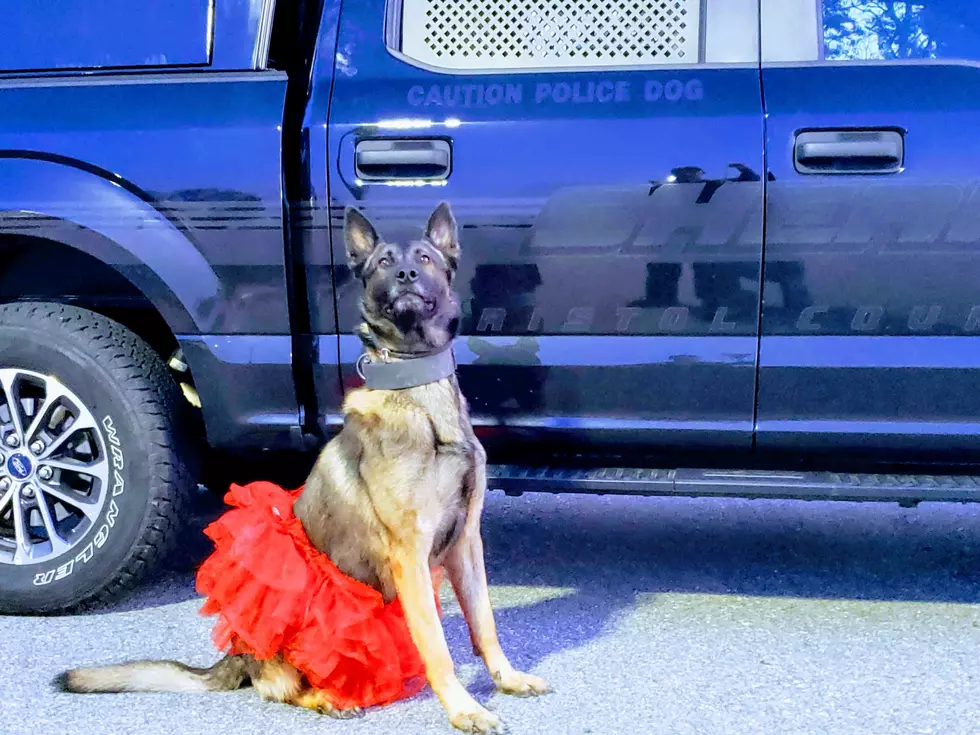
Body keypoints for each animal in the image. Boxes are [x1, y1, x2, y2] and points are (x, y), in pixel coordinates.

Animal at [57, 203, 552, 735]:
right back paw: (325, 698)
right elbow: (437, 645)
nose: (405, 275)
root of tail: (236, 654)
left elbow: (485, 623)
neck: (418, 391)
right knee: (278, 687)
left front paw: (506, 679)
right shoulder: (411, 553)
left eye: (424, 257)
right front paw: (464, 709)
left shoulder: (466, 544)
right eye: (383, 263)